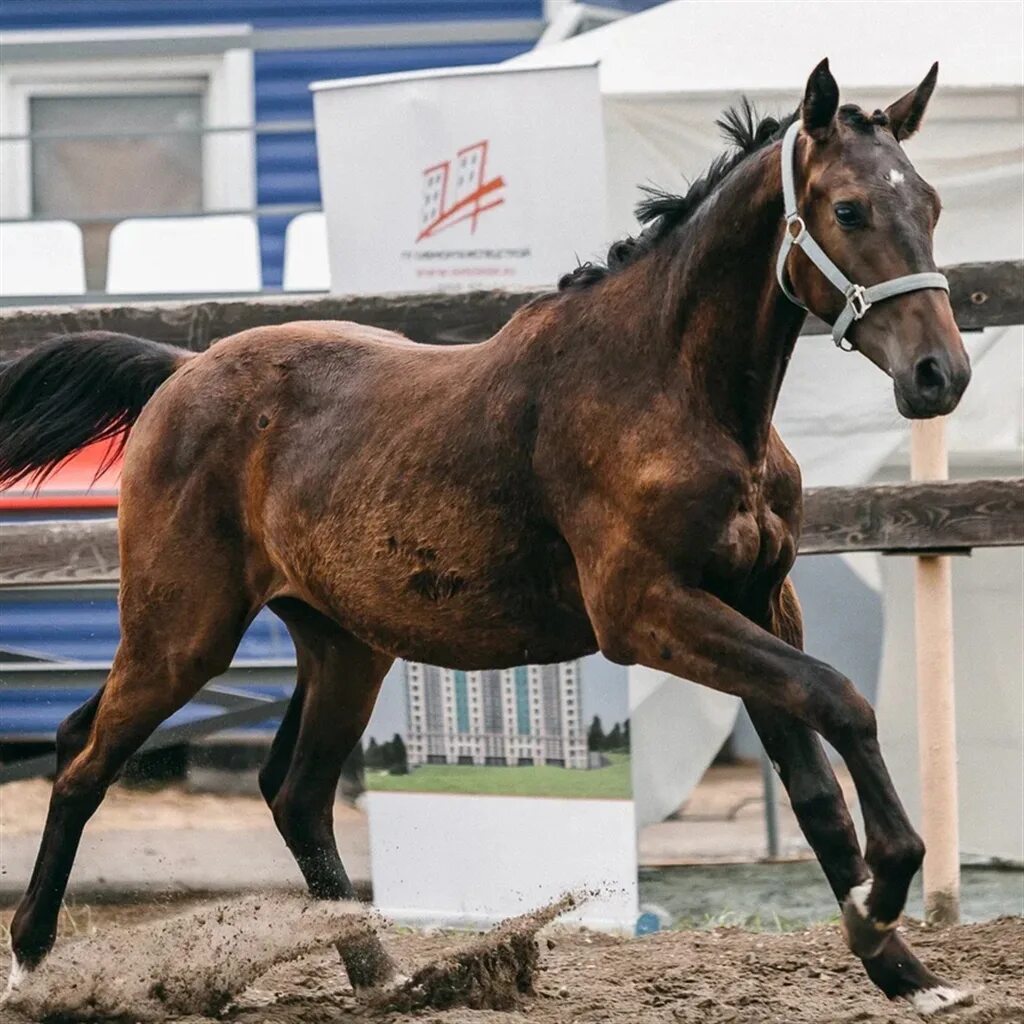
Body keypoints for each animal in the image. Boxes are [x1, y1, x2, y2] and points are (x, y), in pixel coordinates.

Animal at [0, 60, 971, 1014]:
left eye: (930, 205)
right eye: (849, 209)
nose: (941, 375)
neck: (677, 391)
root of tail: (181, 370)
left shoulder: (758, 601)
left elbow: (814, 778)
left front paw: (902, 968)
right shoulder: (647, 610)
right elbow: (840, 698)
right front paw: (889, 890)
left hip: (343, 646)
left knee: (289, 791)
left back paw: (385, 976)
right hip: (183, 634)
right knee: (86, 765)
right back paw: (35, 965)